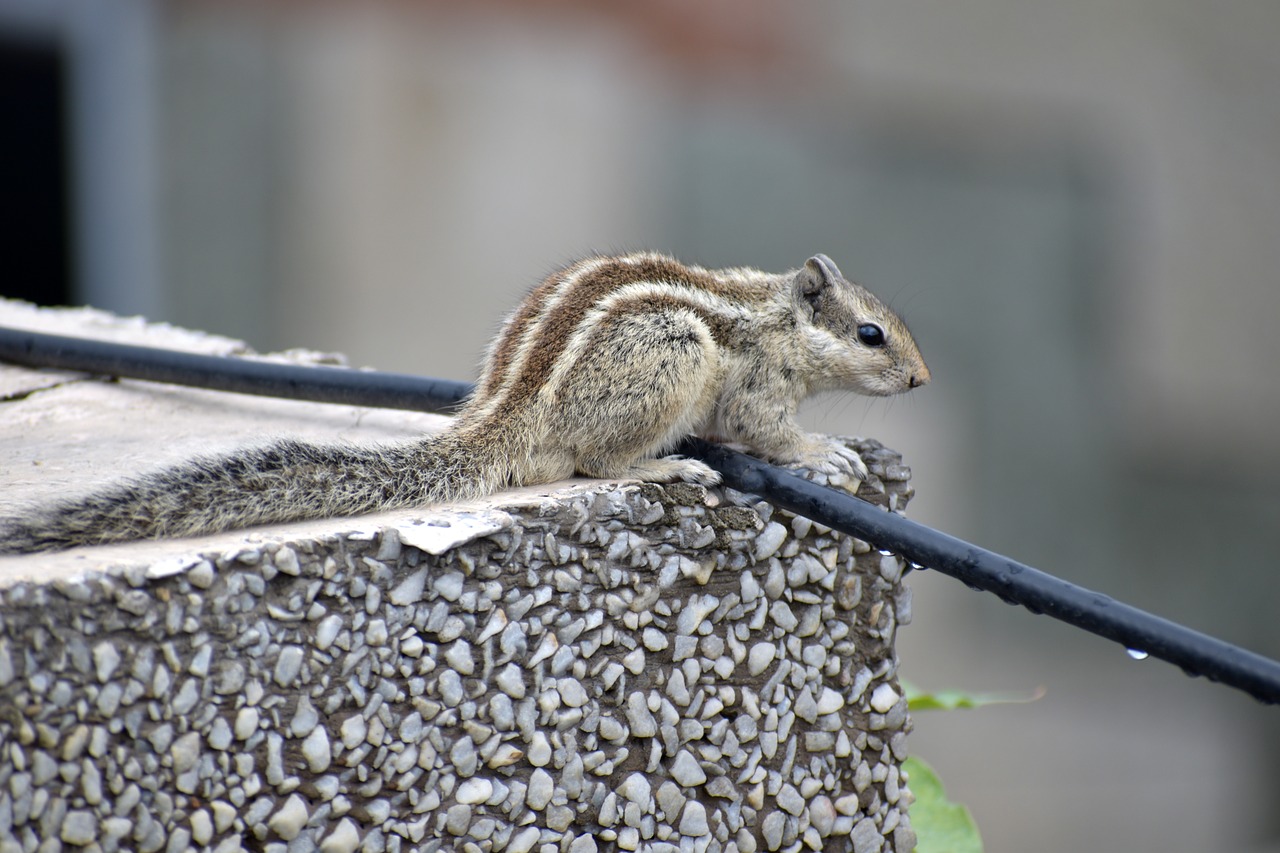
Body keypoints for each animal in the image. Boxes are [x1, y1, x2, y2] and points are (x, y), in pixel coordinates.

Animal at [5, 249, 936, 550]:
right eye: (871, 336)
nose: (923, 380)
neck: (776, 314)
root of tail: (502, 415)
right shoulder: (754, 382)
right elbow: (763, 431)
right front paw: (822, 452)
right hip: (671, 353)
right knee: (596, 460)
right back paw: (667, 470)